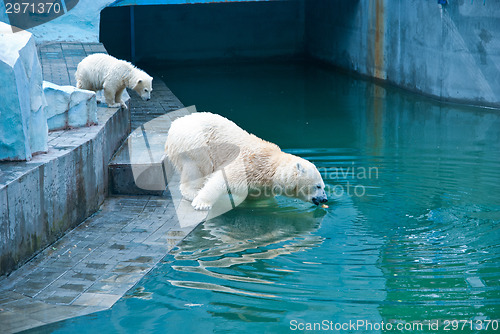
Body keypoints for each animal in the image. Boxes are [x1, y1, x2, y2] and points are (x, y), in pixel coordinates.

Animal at [164, 112, 328, 211]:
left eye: (323, 186)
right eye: (318, 186)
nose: (325, 199)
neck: (271, 166)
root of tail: (175, 124)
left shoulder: (262, 185)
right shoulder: (249, 165)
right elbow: (222, 179)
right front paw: (202, 203)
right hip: (194, 142)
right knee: (197, 167)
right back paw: (193, 193)